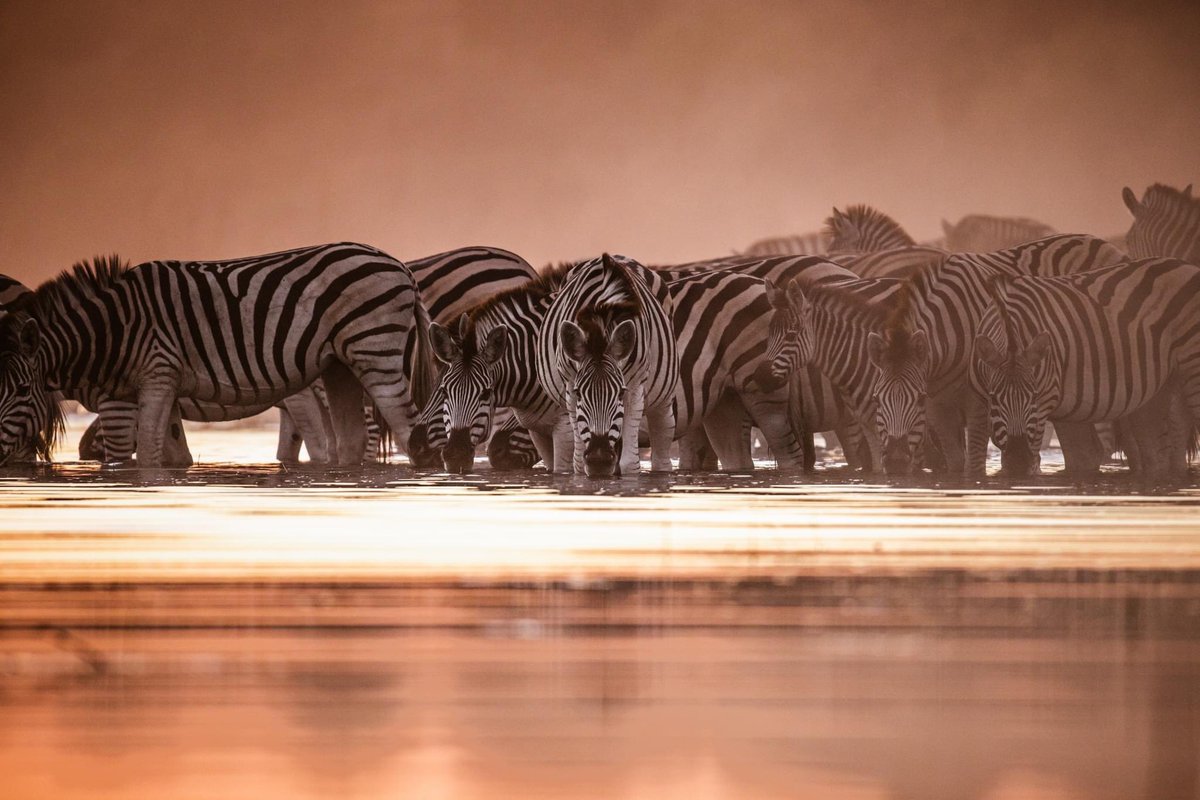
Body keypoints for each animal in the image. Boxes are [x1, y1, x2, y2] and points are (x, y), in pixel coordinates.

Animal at [0, 243, 435, 467]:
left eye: (21, 391)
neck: (111, 330)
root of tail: (400, 266)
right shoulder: (166, 387)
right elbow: (174, 453)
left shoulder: (147, 380)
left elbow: (142, 454)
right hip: (339, 365)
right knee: (350, 442)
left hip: (374, 351)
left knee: (407, 429)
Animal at [537, 254, 678, 477]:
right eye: (579, 393)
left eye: (620, 392)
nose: (599, 460)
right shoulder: (569, 386)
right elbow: (579, 464)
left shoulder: (635, 387)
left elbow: (630, 464)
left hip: (663, 400)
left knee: (662, 451)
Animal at [969, 259, 1200, 479]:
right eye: (993, 397)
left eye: (1034, 396)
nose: (1018, 460)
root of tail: (1186, 265)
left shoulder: (1044, 403)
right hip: (1165, 386)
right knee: (1168, 446)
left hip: (1192, 367)